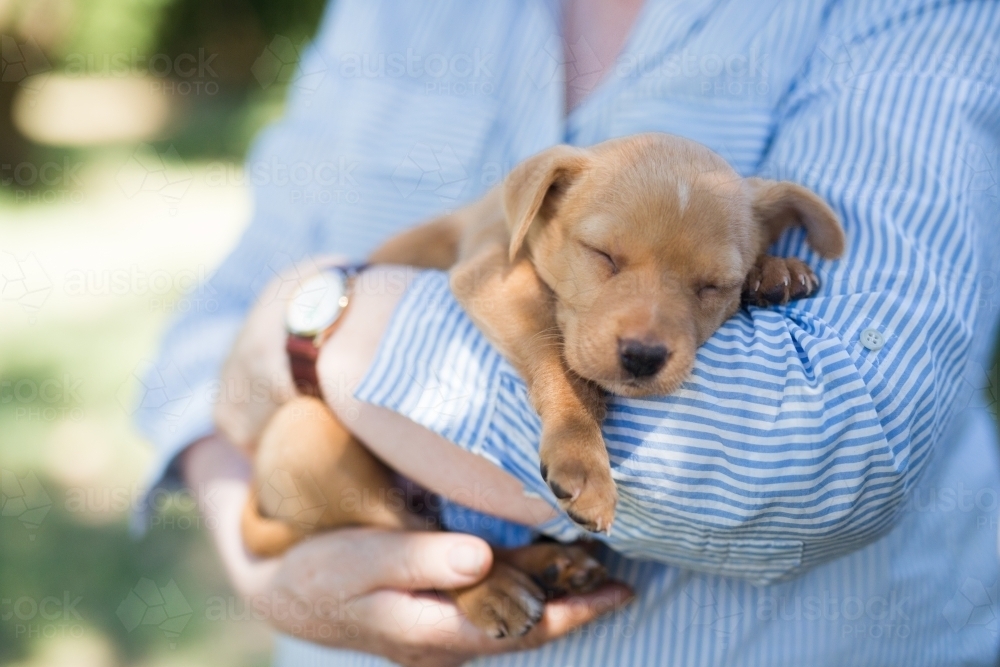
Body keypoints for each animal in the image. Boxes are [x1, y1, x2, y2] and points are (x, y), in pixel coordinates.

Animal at [229, 133, 844, 640]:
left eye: (713, 286)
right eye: (603, 256)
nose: (643, 357)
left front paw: (777, 269)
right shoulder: (492, 275)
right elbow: (553, 350)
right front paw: (582, 451)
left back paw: (554, 566)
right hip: (310, 438)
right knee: (428, 541)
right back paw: (496, 589)